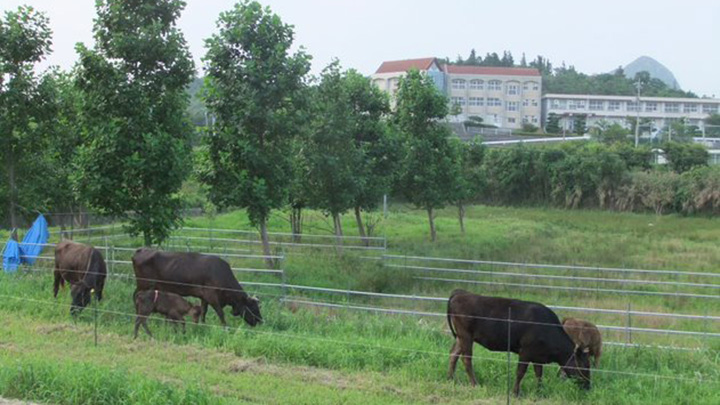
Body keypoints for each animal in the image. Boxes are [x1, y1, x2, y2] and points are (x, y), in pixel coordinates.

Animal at [131, 248, 262, 326]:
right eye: (253, 308)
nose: (260, 321)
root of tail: (142, 249)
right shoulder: (212, 295)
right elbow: (220, 312)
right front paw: (226, 328)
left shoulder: (204, 296)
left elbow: (204, 311)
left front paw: (202, 325)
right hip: (144, 284)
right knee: (135, 295)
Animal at [444, 288, 592, 394]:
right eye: (584, 366)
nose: (588, 386)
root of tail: (460, 293)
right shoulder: (525, 352)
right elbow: (520, 372)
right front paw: (515, 392)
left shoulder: (538, 355)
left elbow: (539, 373)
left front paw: (540, 391)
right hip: (465, 336)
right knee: (466, 359)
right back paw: (474, 384)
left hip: (461, 337)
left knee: (453, 354)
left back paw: (451, 379)